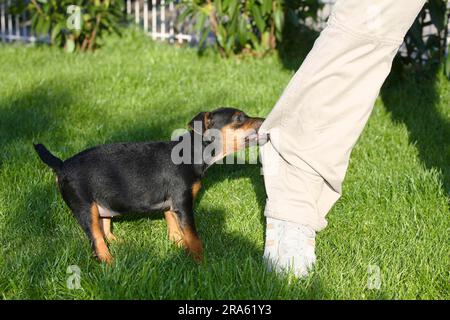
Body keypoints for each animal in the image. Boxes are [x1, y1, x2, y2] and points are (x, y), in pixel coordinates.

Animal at [34, 107, 264, 262]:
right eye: (239, 118)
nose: (264, 120)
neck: (194, 152)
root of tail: (61, 165)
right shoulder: (183, 203)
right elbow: (193, 236)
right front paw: (201, 262)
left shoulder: (172, 204)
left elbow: (175, 228)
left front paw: (178, 246)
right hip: (84, 207)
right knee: (96, 239)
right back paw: (110, 263)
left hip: (102, 203)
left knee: (104, 228)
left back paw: (119, 244)